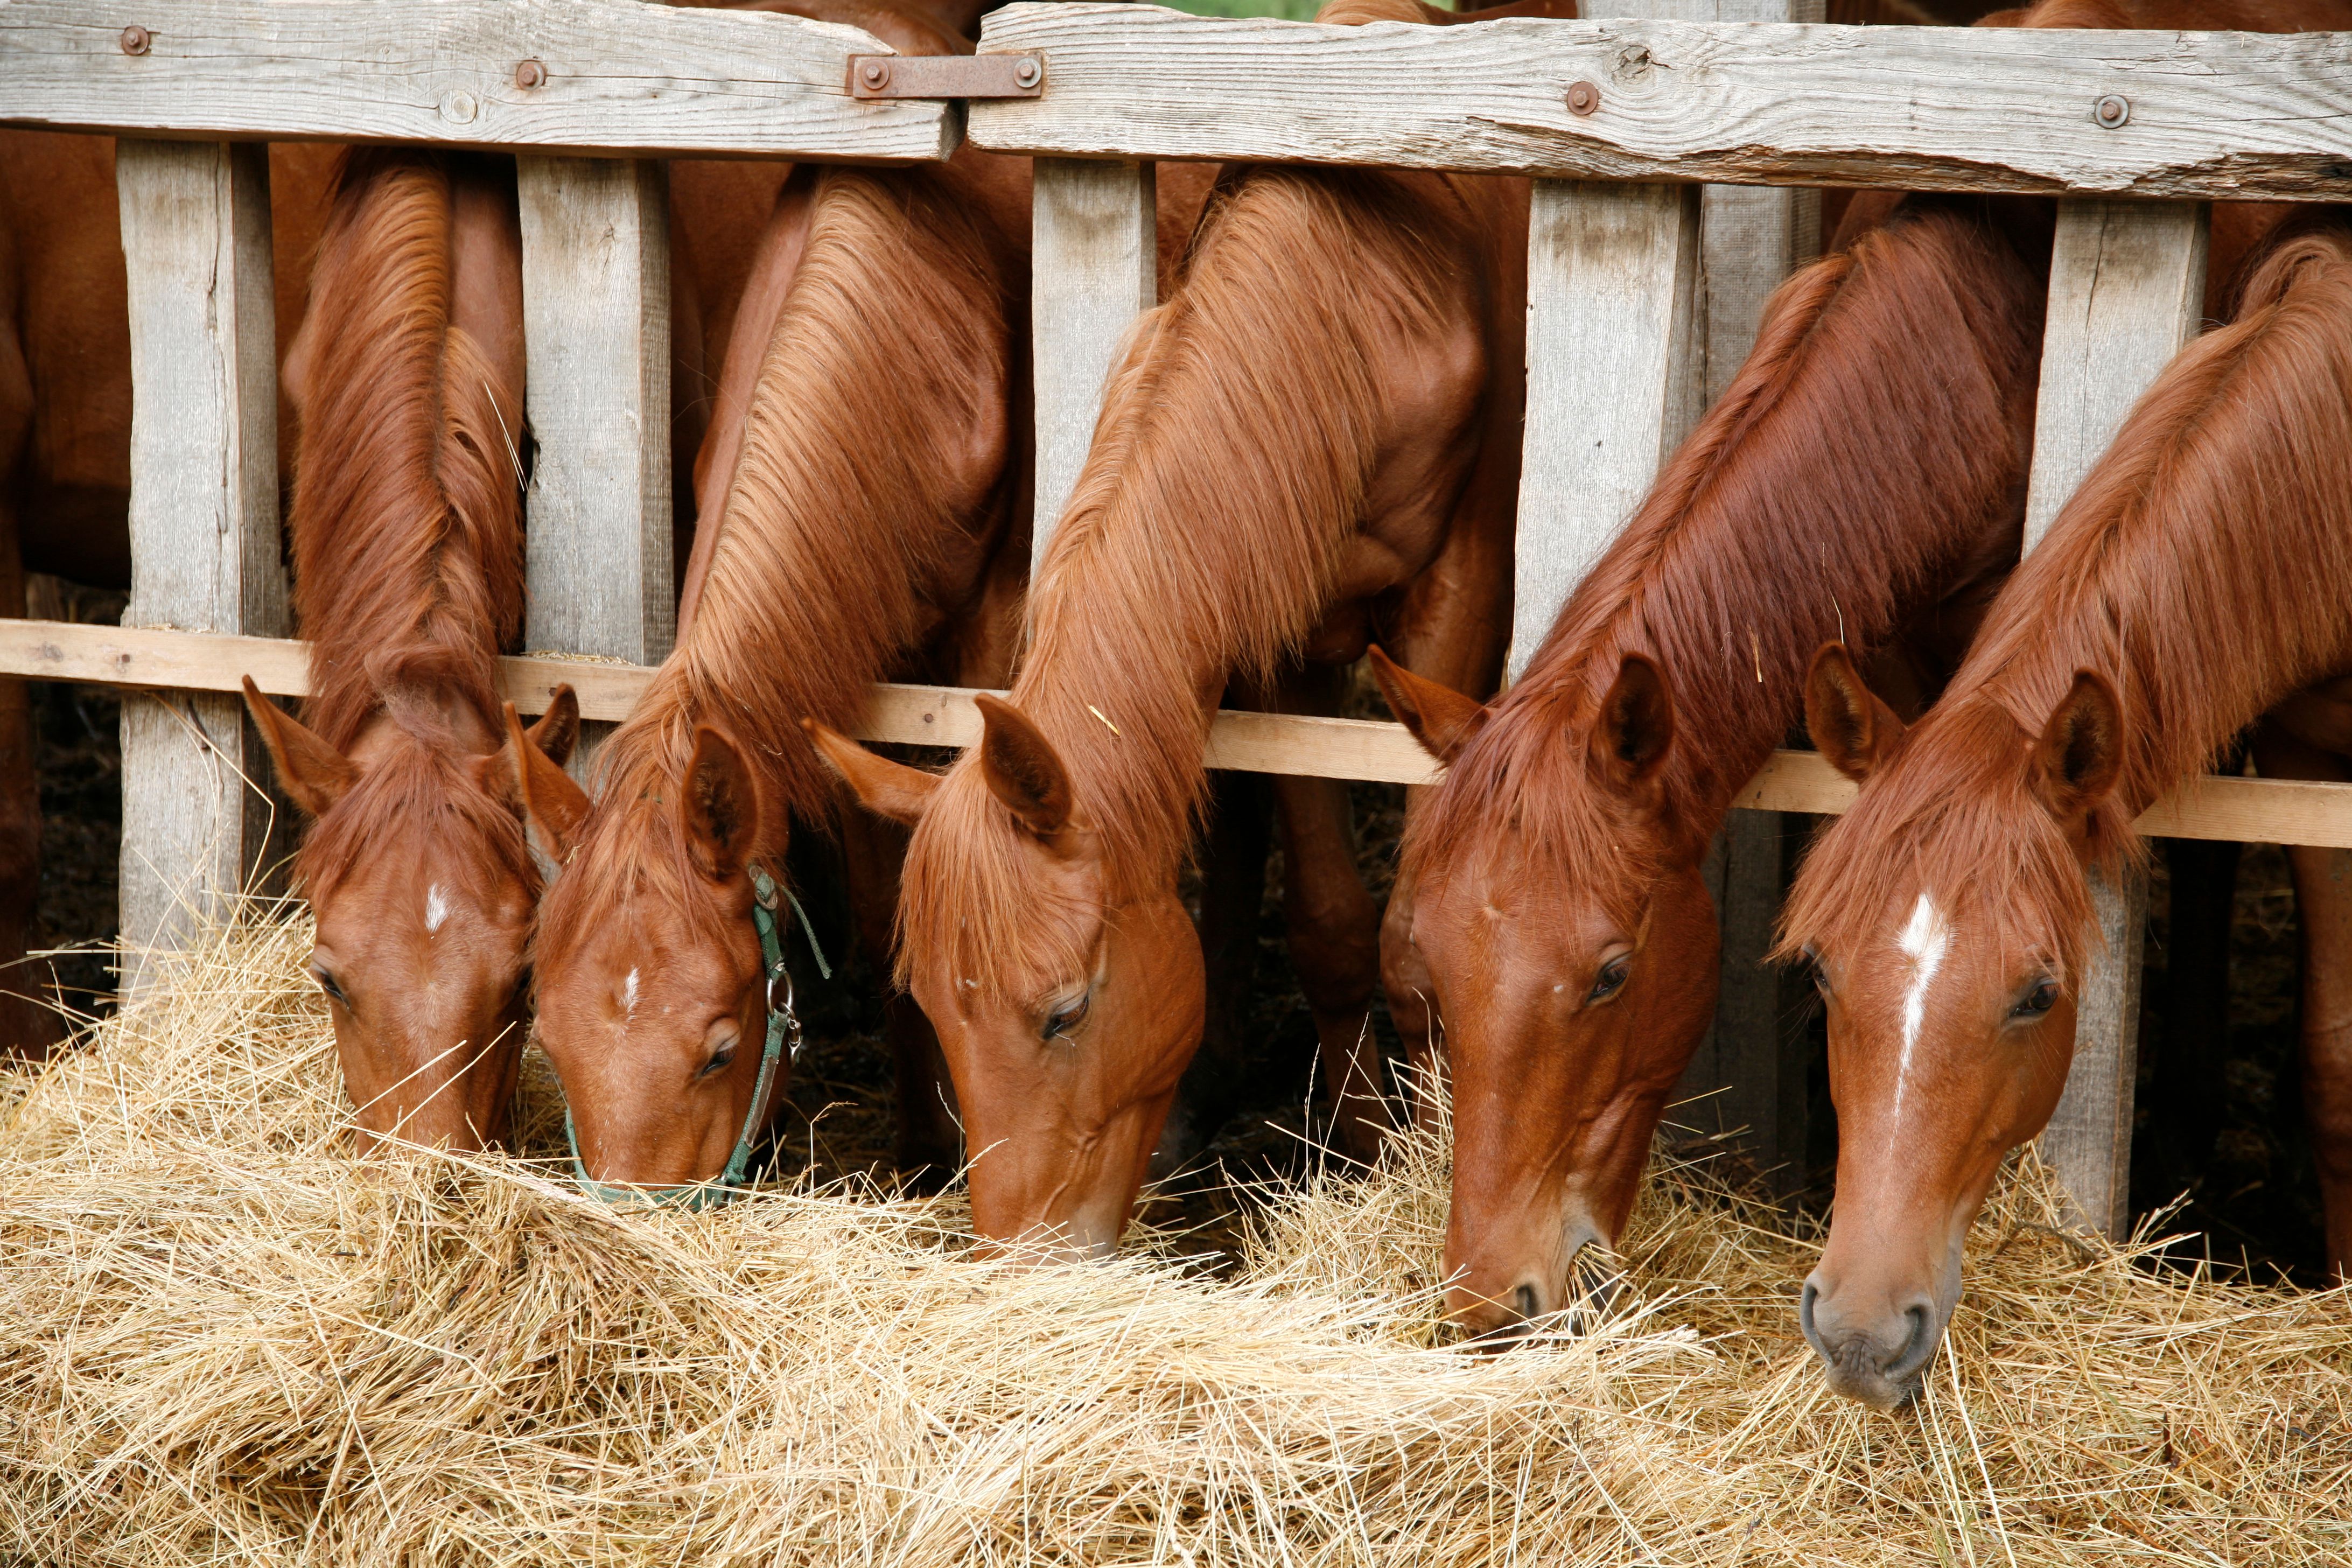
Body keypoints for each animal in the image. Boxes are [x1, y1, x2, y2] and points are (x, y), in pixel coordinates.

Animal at [810, 0, 1566, 1256]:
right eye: (933, 1010)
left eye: (1064, 1011)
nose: (1023, 1256)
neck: (1362, 307)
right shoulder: (1281, 636)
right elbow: (1327, 921)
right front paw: (1363, 1143)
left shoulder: (1450, 606)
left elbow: (1415, 927)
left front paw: (1422, 1142)